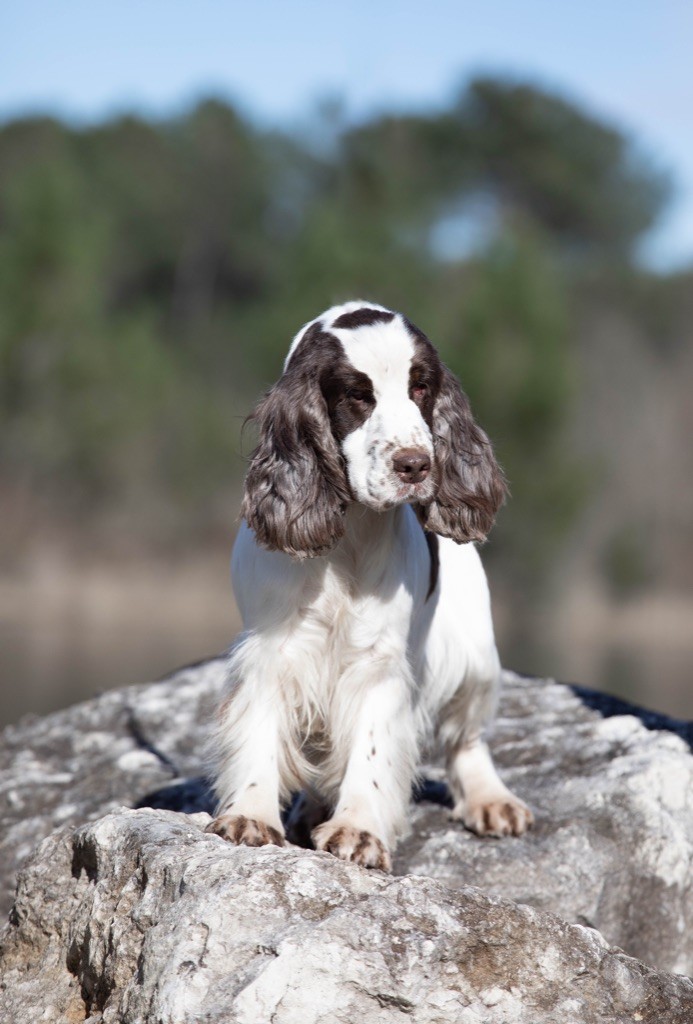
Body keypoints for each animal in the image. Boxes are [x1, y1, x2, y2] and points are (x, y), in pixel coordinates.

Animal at [202, 299, 532, 868]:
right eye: (358, 395)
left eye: (421, 387)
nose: (417, 465)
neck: (350, 535)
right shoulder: (272, 650)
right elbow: (260, 729)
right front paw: (251, 815)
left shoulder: (380, 661)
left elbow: (372, 747)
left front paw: (357, 830)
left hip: (474, 655)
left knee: (466, 739)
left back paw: (492, 801)